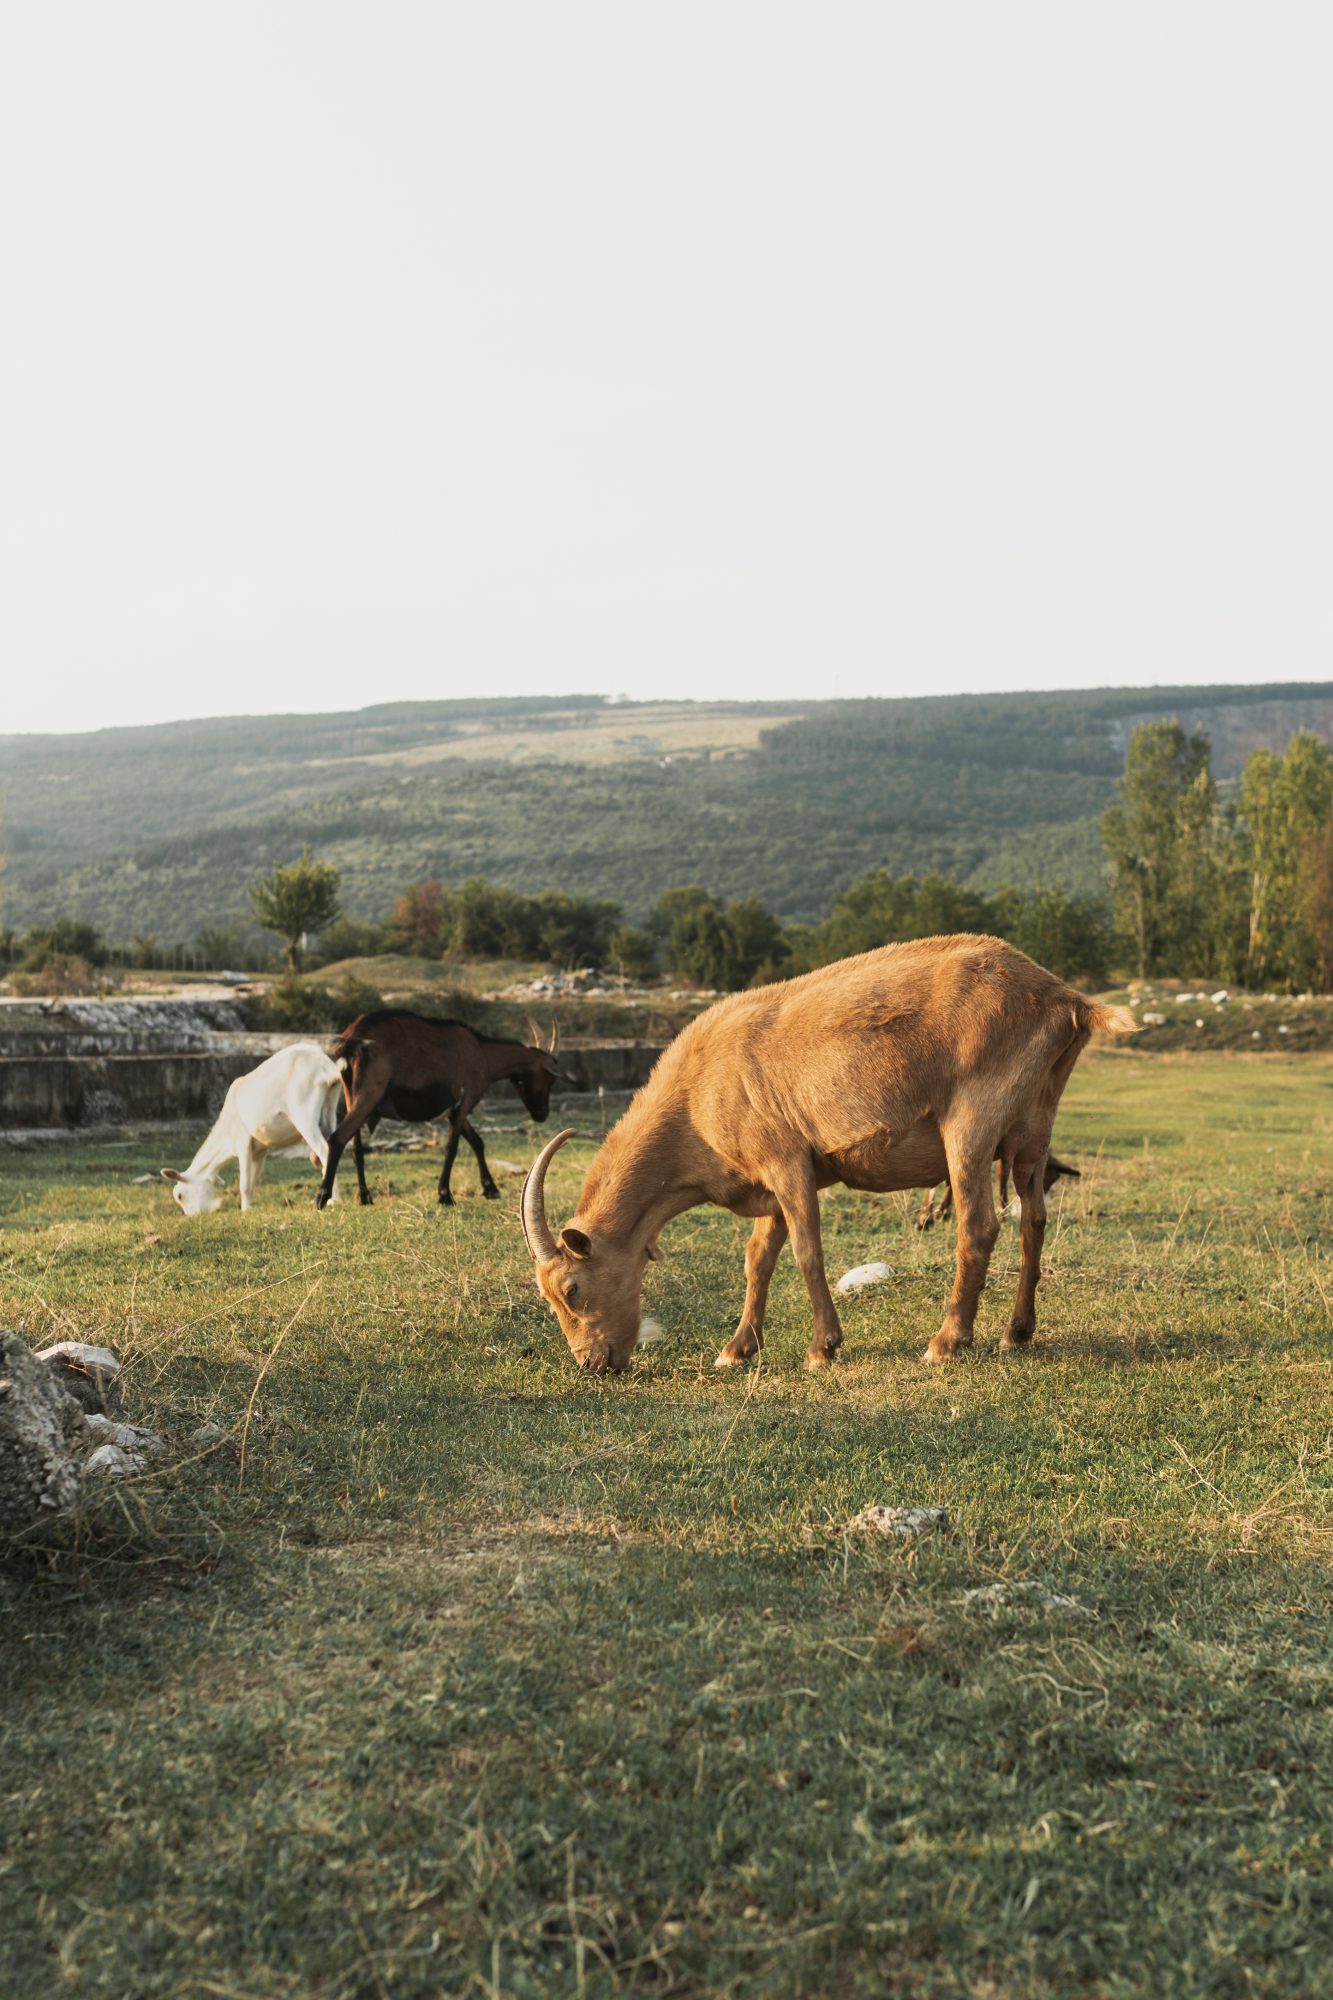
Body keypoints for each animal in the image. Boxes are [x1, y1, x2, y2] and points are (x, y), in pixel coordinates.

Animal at [162, 1042, 347, 1215]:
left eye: (180, 1196)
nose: (192, 1216)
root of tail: (325, 1065)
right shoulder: (260, 1150)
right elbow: (252, 1181)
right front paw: (249, 1207)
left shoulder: (242, 1142)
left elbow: (244, 1183)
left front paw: (244, 1210)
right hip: (329, 1111)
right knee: (333, 1144)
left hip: (304, 1116)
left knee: (324, 1150)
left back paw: (333, 1199)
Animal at [316, 1010, 561, 1210]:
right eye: (548, 1078)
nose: (542, 1113)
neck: (482, 1052)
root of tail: (352, 1037)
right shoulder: (463, 1104)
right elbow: (451, 1148)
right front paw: (445, 1195)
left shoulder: (455, 1110)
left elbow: (477, 1142)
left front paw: (490, 1188)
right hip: (368, 1095)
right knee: (337, 1138)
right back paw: (322, 1196)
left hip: (352, 1097)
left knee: (356, 1147)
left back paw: (364, 1196)